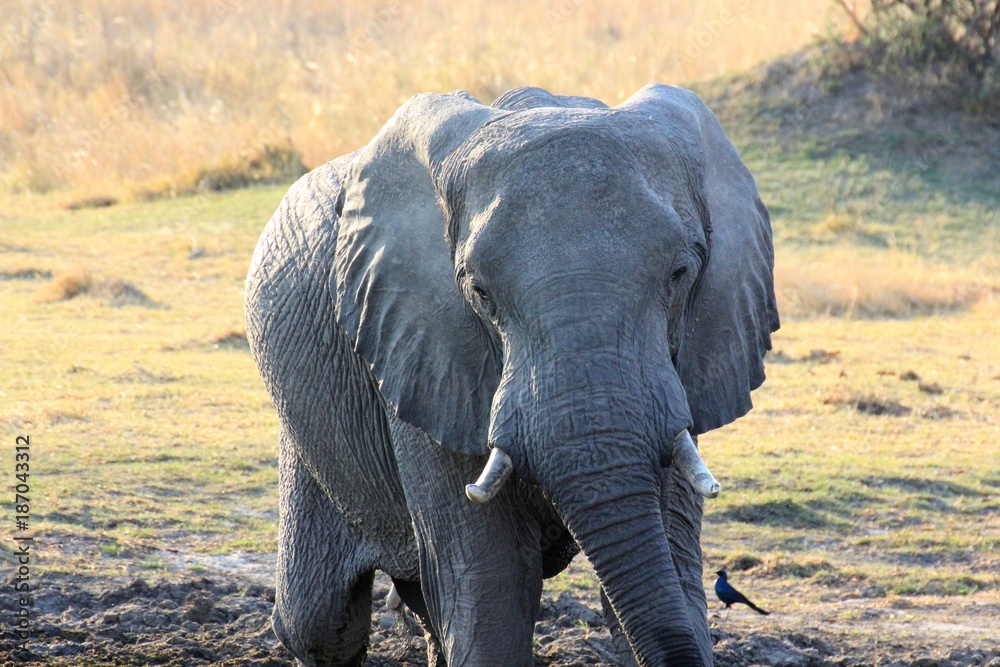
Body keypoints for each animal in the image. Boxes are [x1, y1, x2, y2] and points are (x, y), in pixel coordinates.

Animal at [244, 84, 779, 667]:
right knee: (319, 620)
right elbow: (490, 587)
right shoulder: (422, 346)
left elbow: (672, 565)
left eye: (681, 273)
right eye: (479, 292)